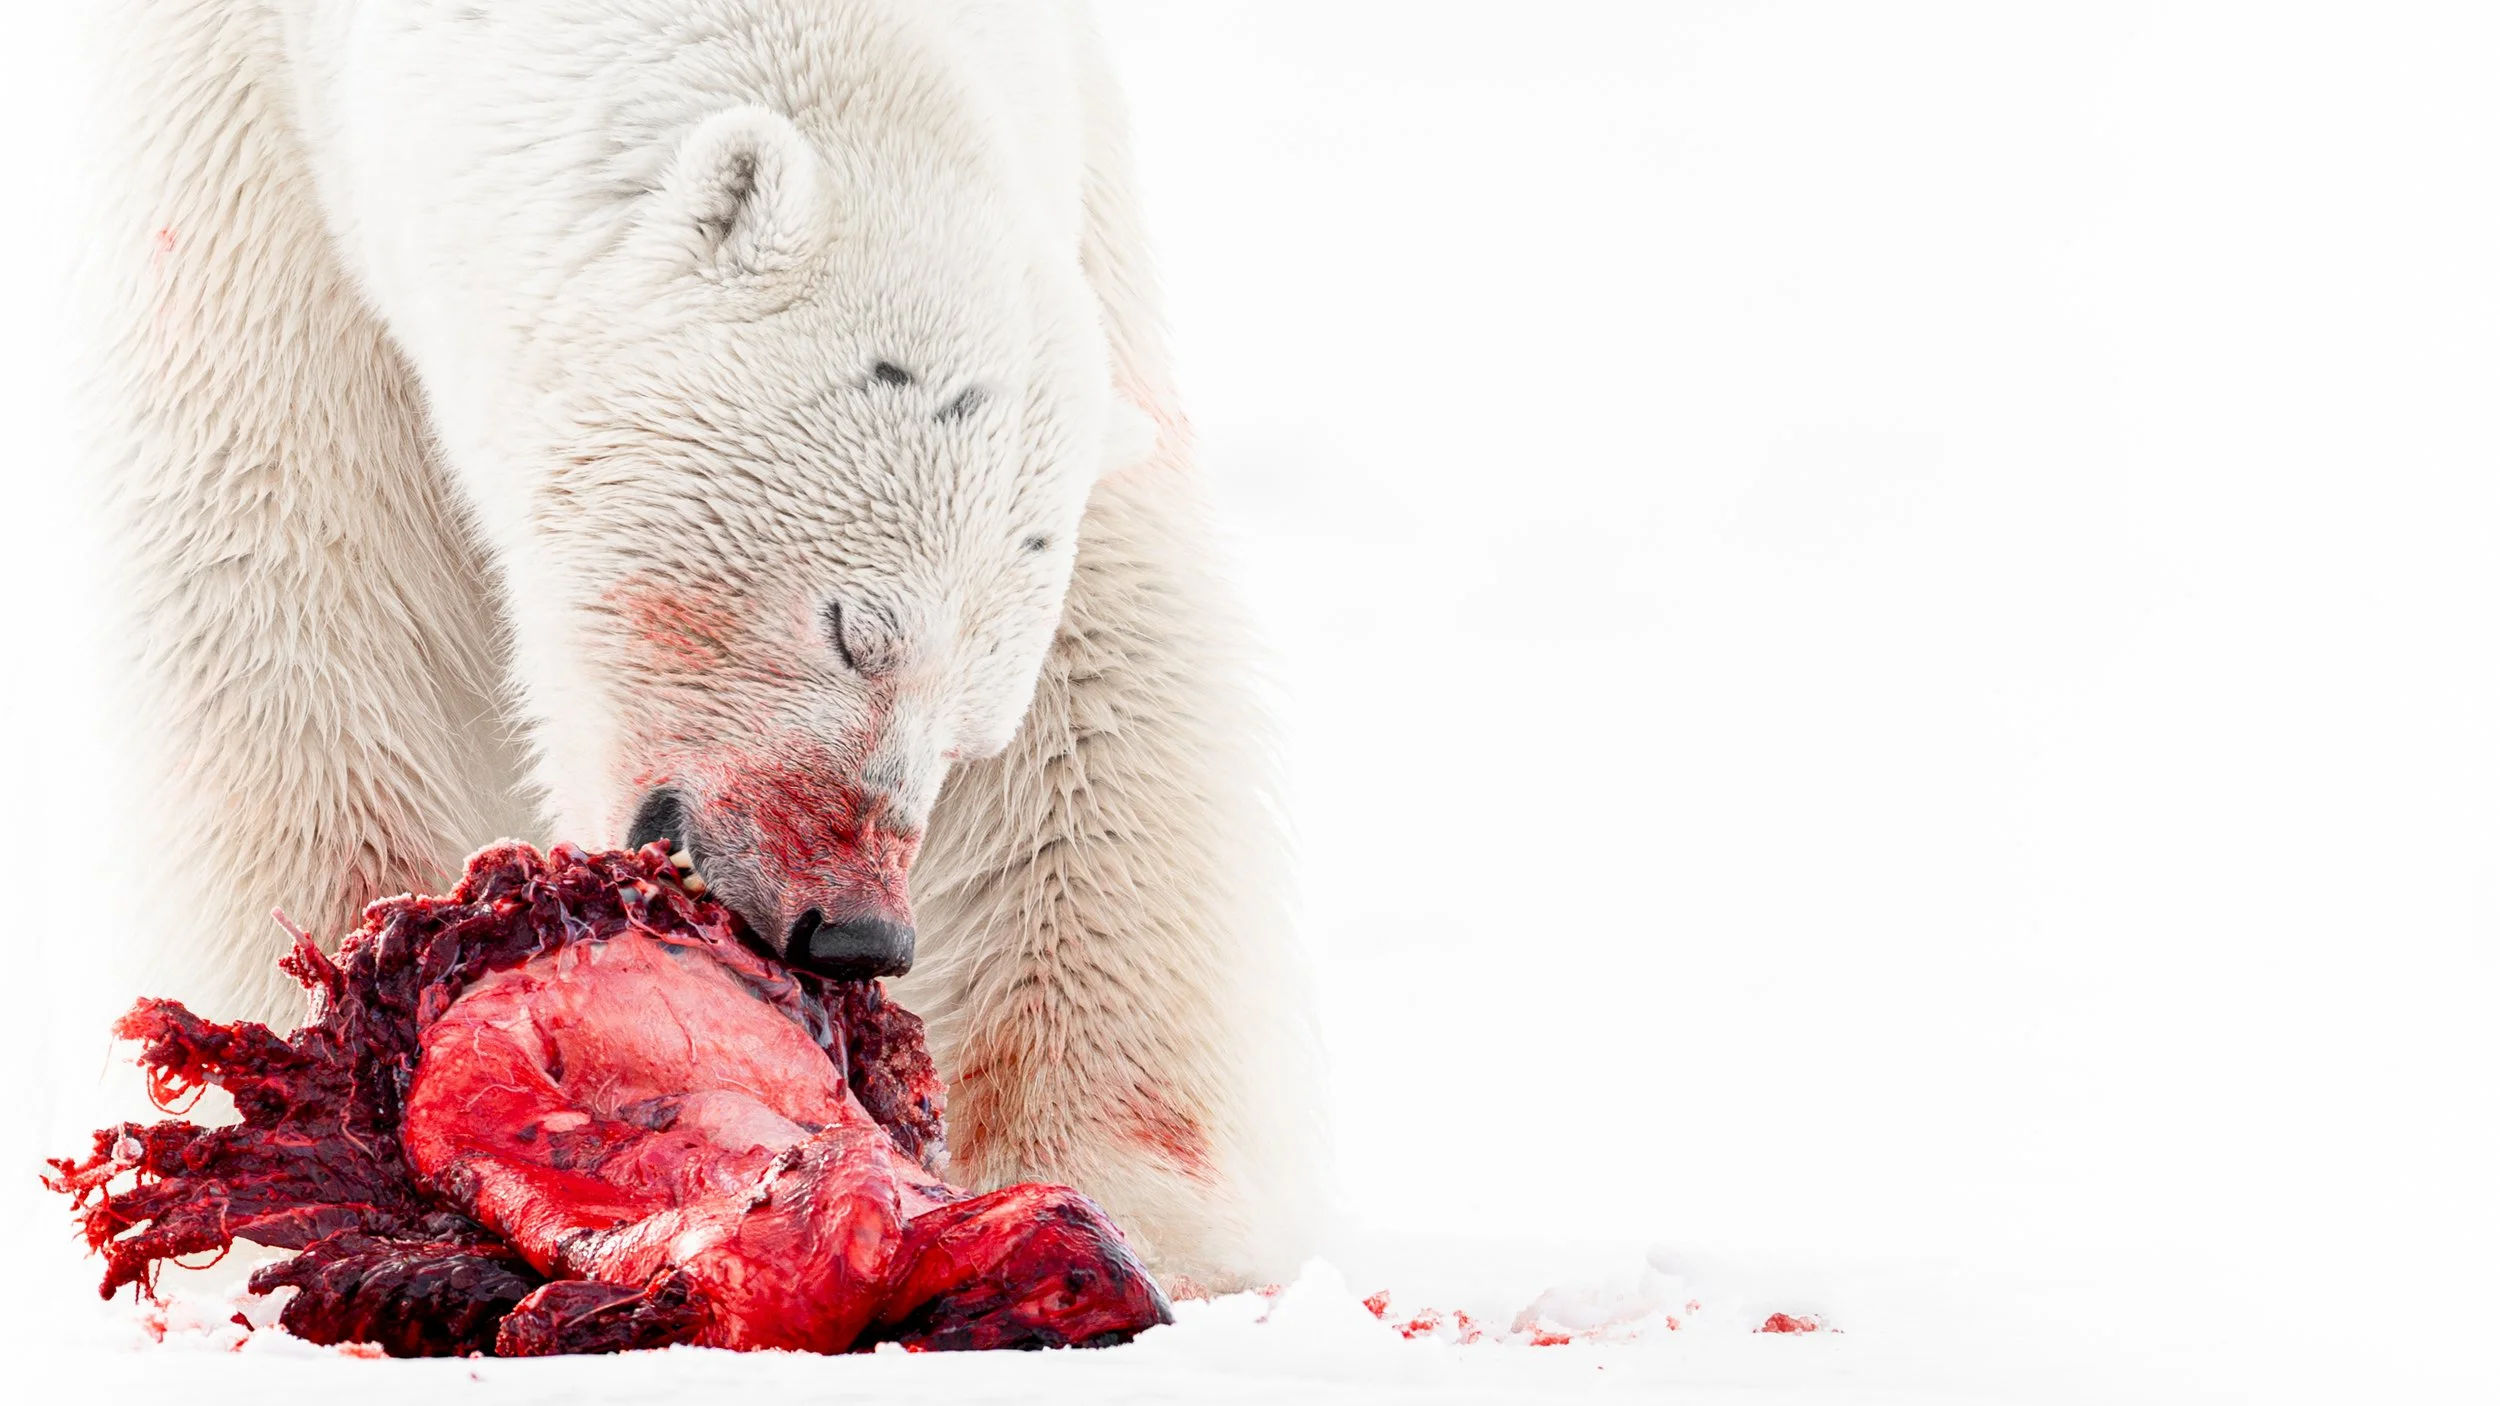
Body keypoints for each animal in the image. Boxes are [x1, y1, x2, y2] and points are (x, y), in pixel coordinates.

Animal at [86, 0, 1315, 1290]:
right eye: (852, 628)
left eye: (975, 721)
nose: (854, 929)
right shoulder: (236, 158)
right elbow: (288, 571)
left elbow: (1104, 677)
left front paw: (1143, 1209)